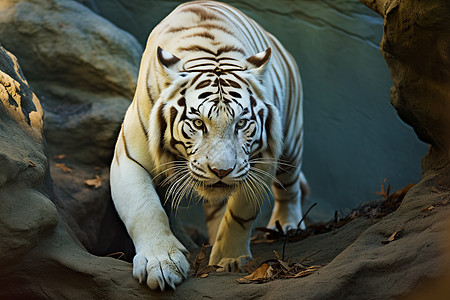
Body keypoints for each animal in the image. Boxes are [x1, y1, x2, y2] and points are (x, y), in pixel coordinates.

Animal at [111, 0, 310, 290]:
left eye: (241, 123)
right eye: (198, 123)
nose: (221, 171)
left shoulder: (261, 161)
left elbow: (240, 214)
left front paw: (230, 259)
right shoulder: (129, 157)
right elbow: (144, 208)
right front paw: (160, 263)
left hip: (292, 139)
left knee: (290, 187)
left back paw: (287, 225)